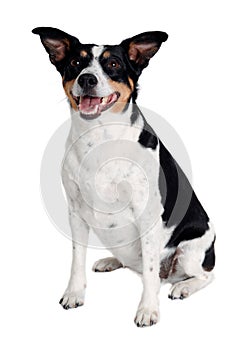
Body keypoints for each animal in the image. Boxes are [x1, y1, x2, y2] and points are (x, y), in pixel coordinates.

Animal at [32, 28, 215, 328]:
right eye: (75, 62)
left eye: (114, 64)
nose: (87, 79)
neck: (100, 137)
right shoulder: (76, 213)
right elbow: (76, 258)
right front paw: (74, 293)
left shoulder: (147, 215)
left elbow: (150, 274)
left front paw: (148, 309)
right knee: (134, 264)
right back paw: (110, 261)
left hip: (191, 252)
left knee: (204, 275)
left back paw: (183, 287)